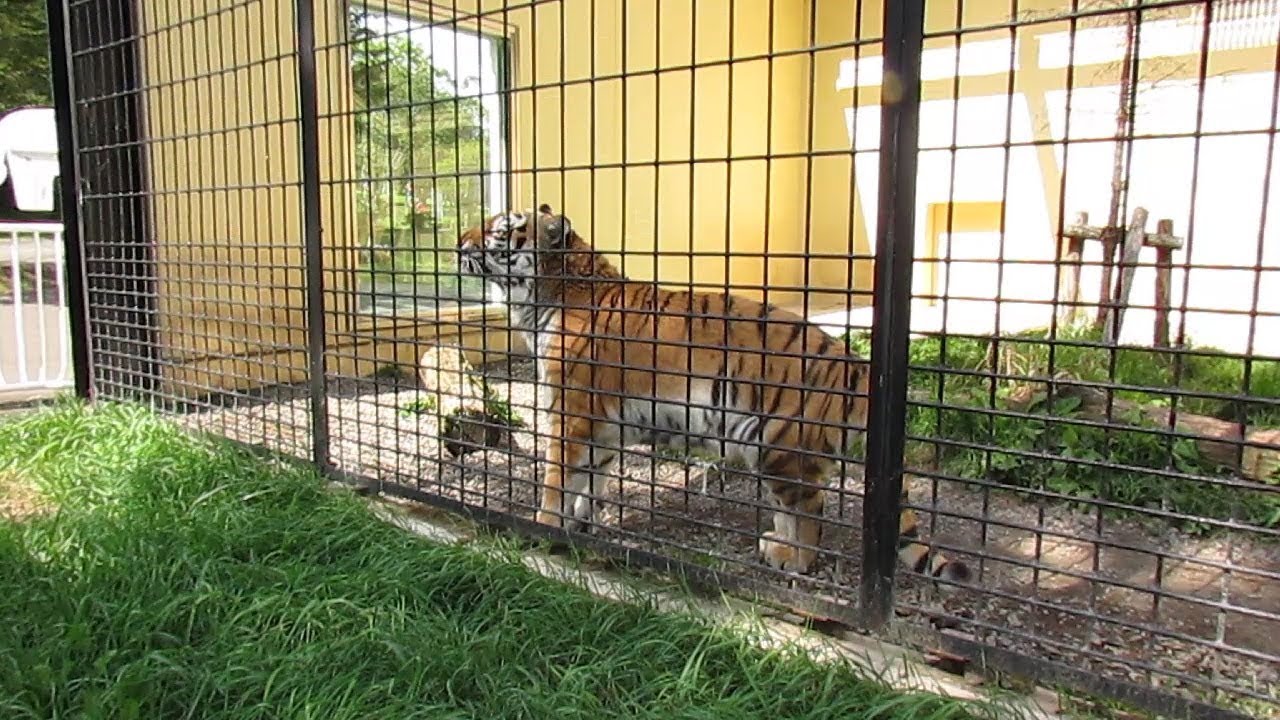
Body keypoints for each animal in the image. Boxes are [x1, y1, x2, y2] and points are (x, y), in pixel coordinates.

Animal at [457, 204, 969, 583]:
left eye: (500, 231)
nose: (459, 240)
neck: (548, 296)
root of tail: (851, 362)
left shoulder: (572, 414)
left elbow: (558, 481)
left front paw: (542, 529)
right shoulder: (602, 427)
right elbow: (591, 483)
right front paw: (580, 527)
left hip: (778, 446)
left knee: (810, 512)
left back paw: (793, 560)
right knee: (792, 509)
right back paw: (774, 546)